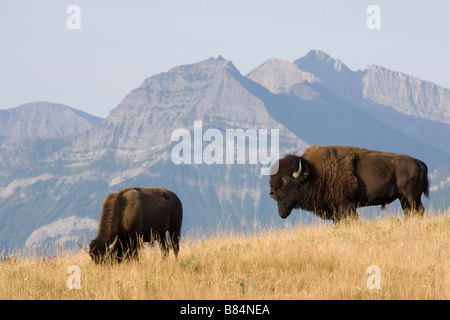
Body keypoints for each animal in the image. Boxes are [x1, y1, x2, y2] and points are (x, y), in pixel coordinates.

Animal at [268, 146, 430, 222]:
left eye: (286, 178)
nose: (271, 193)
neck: (315, 173)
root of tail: (419, 163)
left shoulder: (346, 205)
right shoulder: (336, 210)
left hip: (412, 197)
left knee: (419, 211)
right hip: (403, 198)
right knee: (409, 213)